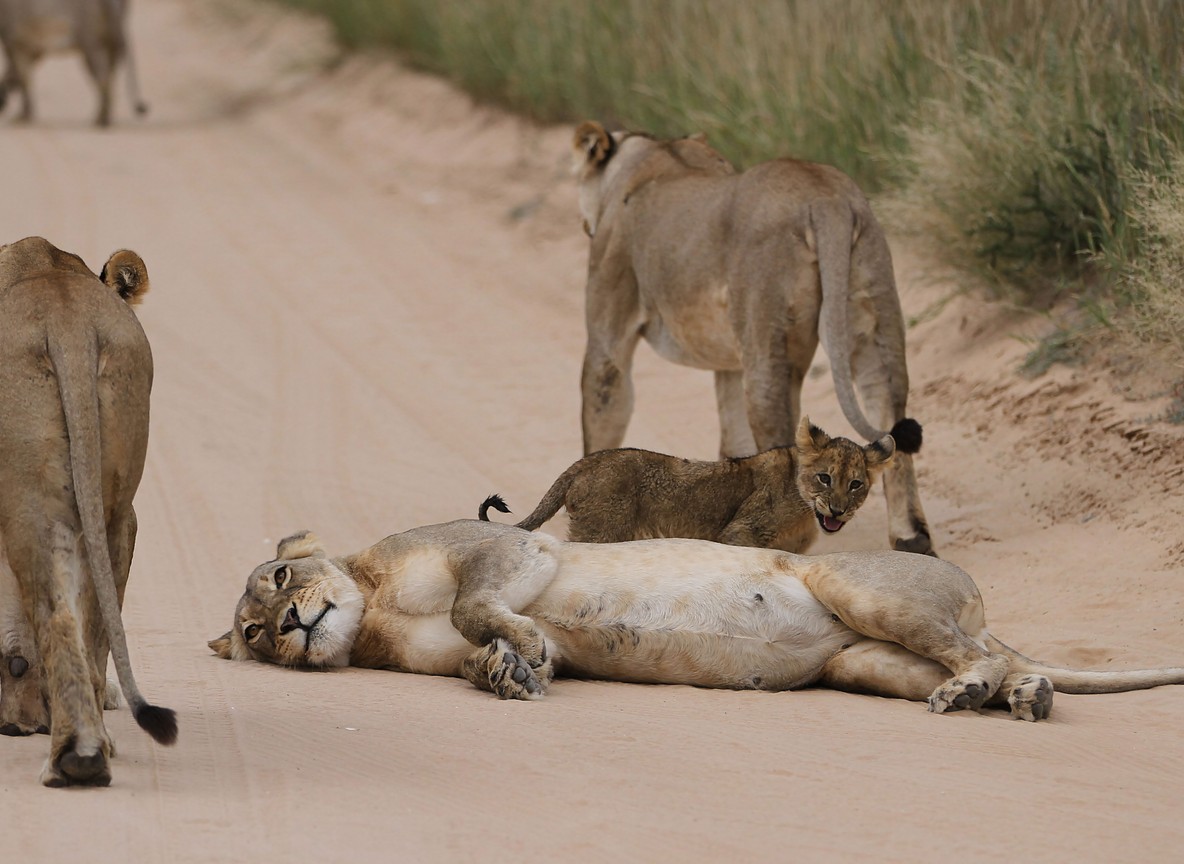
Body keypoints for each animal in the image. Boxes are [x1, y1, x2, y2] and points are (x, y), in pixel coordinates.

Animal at [0, 0, 148, 126]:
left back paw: (101, 121)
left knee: (101, 73)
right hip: (113, 31)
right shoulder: (30, 43)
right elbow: (23, 70)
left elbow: (23, 75)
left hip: (90, 34)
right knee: (111, 69)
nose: (3, 105)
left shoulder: (14, 37)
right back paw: (103, 118)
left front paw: (22, 117)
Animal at [0, 236, 175, 788]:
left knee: (54, 612)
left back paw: (72, 757)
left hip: (27, 502)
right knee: (95, 612)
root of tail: (67, 318)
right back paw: (93, 741)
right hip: (114, 506)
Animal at [479, 416, 905, 554]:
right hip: (600, 531)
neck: (803, 507)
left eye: (856, 484)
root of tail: (584, 462)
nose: (838, 510)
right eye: (824, 478)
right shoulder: (739, 532)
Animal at [573, 120, 933, 556]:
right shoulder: (730, 362)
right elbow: (734, 441)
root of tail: (825, 195)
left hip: (768, 341)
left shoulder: (609, 333)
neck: (655, 154)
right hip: (875, 307)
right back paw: (912, 539)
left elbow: (602, 415)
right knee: (889, 413)